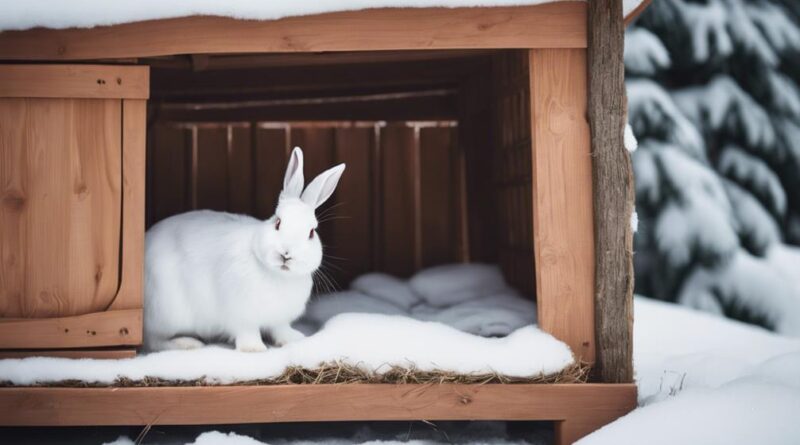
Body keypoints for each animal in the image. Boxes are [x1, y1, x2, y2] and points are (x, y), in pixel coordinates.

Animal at [145, 147, 346, 352]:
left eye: (311, 232)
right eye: (278, 223)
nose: (286, 254)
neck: (277, 274)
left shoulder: (278, 319)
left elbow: (280, 329)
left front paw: (294, 339)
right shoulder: (240, 316)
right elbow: (247, 332)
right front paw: (254, 349)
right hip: (165, 312)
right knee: (154, 340)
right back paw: (187, 343)